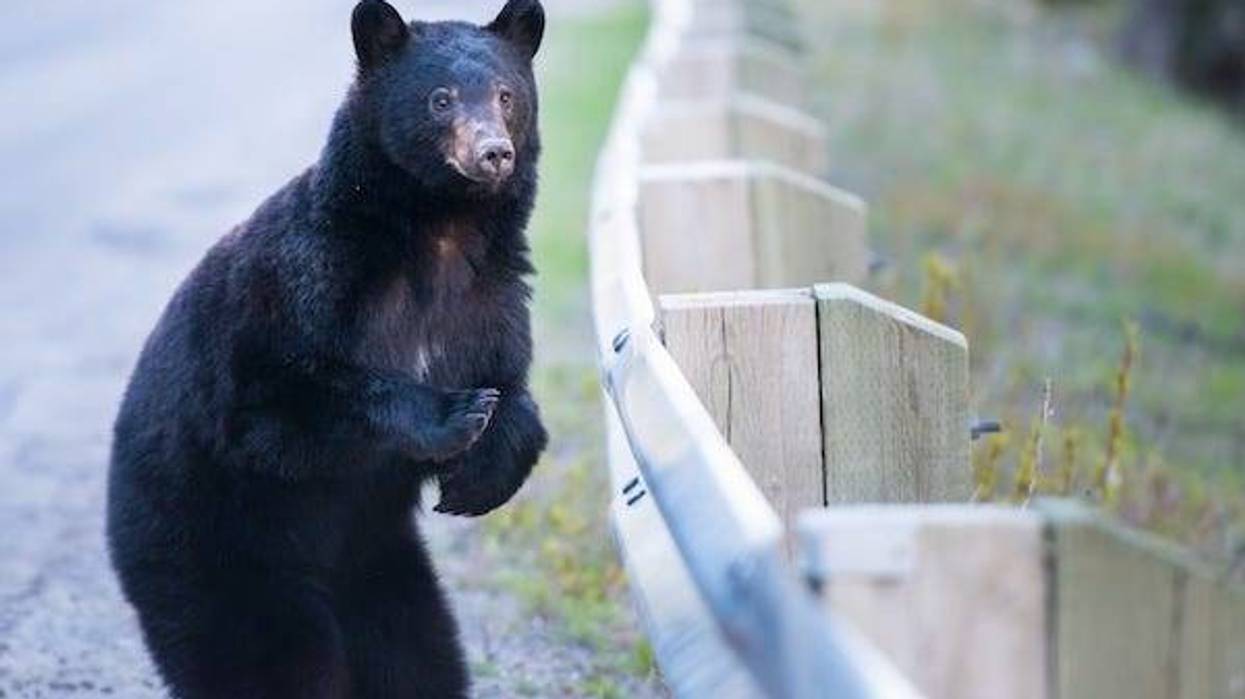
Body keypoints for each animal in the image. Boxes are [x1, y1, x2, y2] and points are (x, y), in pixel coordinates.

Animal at [105, 1, 548, 697]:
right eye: (441, 98)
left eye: (506, 95)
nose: (493, 152)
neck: (440, 233)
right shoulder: (307, 283)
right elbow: (278, 407)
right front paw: (456, 414)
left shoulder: (490, 297)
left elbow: (511, 379)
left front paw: (480, 473)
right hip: (210, 553)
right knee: (262, 661)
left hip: (381, 566)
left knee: (418, 655)